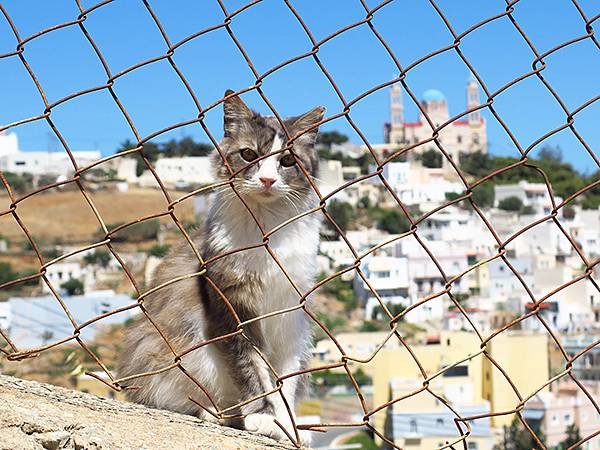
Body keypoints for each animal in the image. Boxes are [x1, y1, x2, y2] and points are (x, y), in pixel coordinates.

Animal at [117, 89, 324, 444]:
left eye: (287, 162)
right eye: (248, 154)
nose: (267, 179)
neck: (267, 230)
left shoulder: (290, 315)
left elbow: (285, 379)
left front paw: (288, 424)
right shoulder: (232, 307)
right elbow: (252, 370)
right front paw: (265, 417)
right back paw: (221, 414)